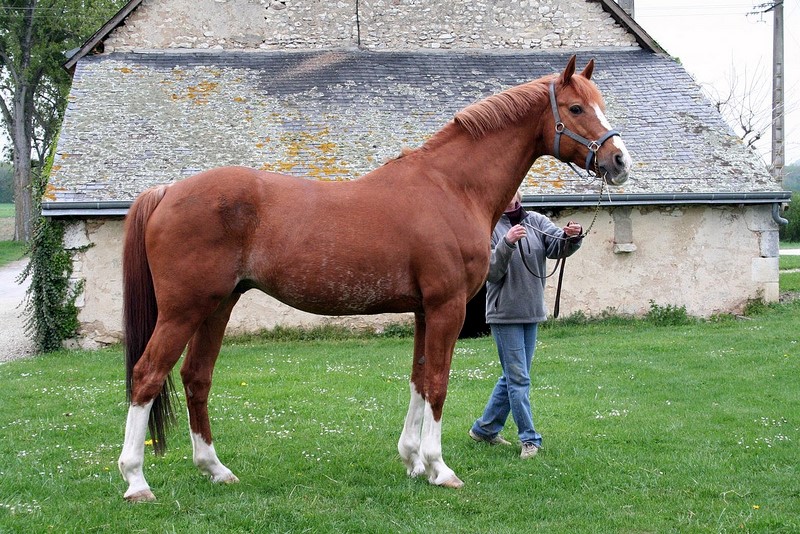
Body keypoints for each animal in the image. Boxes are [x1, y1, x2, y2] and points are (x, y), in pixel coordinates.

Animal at [119, 55, 632, 502]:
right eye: (576, 108)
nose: (620, 161)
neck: (451, 186)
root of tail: (168, 191)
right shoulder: (446, 306)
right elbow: (439, 382)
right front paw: (440, 468)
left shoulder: (424, 310)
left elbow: (419, 379)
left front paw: (413, 461)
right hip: (184, 310)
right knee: (147, 375)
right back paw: (136, 481)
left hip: (219, 305)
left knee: (196, 377)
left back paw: (215, 469)